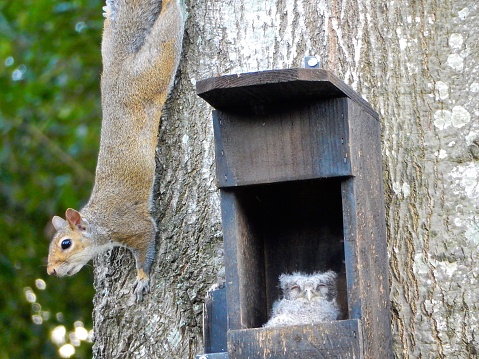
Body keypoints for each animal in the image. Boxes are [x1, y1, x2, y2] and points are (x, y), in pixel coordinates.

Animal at [47, 0, 186, 302]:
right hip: (110, 42)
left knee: (168, 32)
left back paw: (172, 4)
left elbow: (147, 245)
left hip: (152, 71)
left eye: (66, 244)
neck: (100, 222)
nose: (51, 271)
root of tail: (116, 70)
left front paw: (142, 279)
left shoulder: (134, 225)